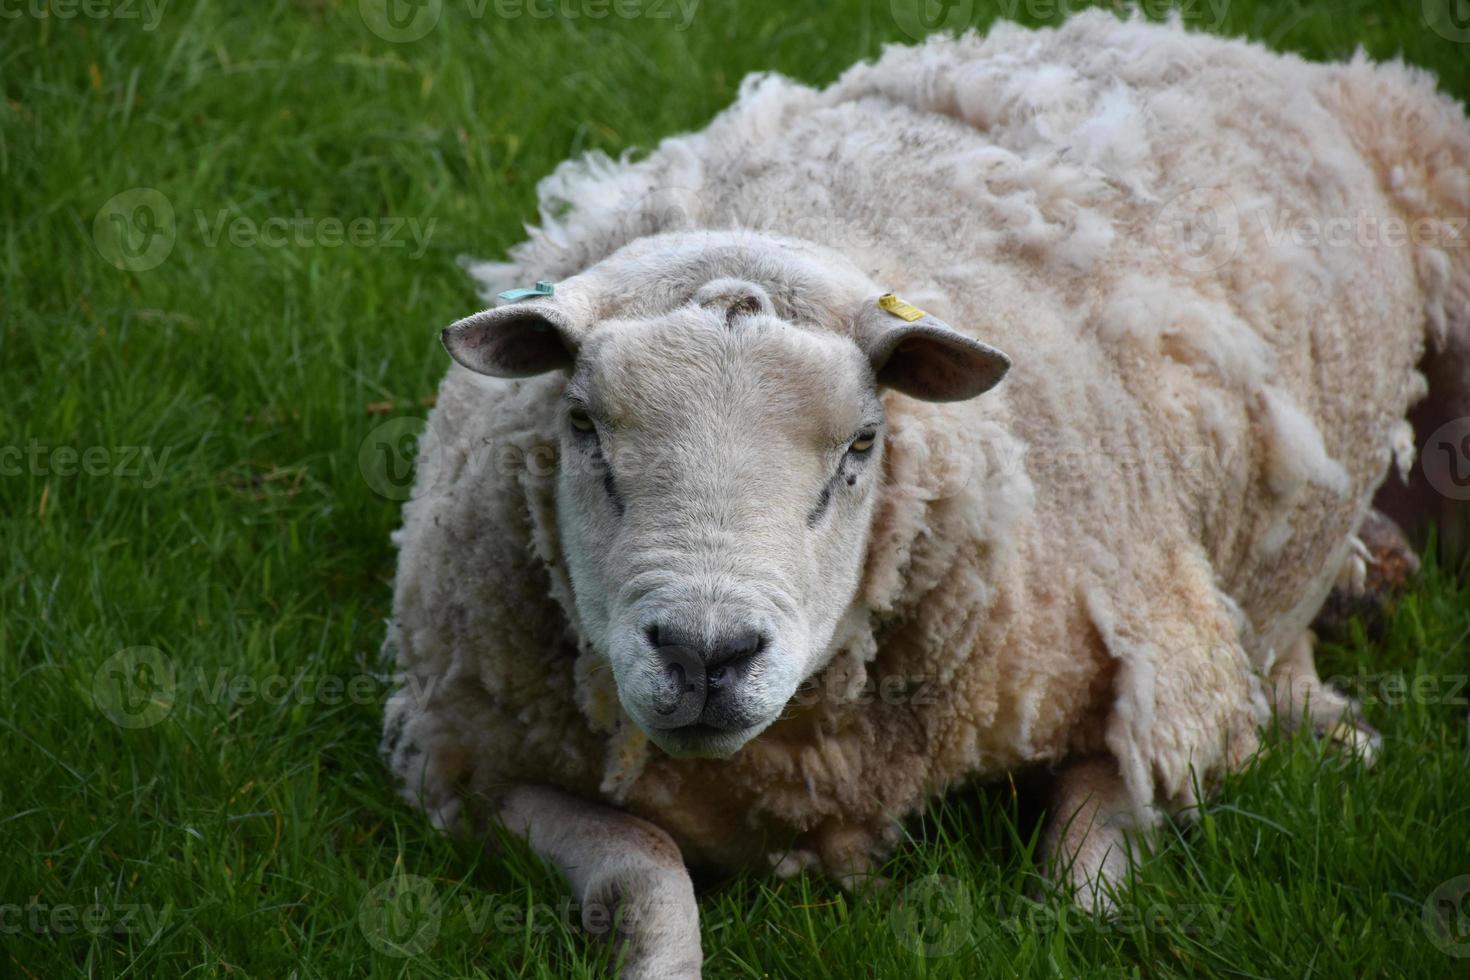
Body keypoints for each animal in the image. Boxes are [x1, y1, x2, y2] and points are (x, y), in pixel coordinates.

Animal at [382, 9, 1470, 980]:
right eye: (581, 426)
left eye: (861, 445)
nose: (705, 652)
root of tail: (1194, 33)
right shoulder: (471, 766)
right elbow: (646, 874)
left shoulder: (1165, 678)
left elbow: (1084, 885)